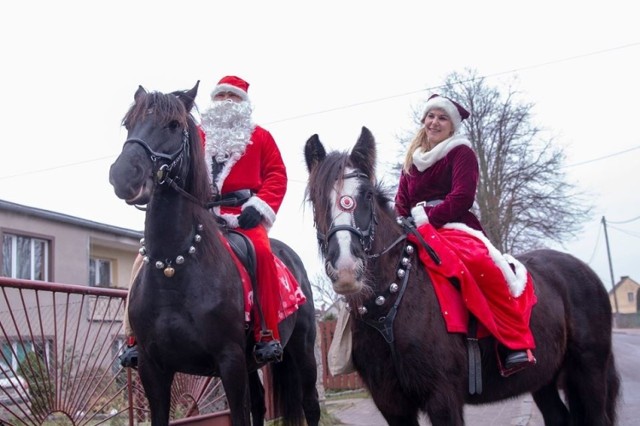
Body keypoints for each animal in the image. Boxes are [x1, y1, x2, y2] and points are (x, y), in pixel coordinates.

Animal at [110, 82, 322, 426]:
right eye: (129, 123)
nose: (124, 175)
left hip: (301, 351)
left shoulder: (230, 361)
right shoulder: (152, 370)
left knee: (310, 404)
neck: (174, 266)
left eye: (174, 125)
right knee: (260, 404)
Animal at [304, 126, 620, 426]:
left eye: (367, 195)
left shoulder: (442, 398)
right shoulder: (392, 405)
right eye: (316, 199)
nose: (346, 268)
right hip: (544, 377)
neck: (392, 301)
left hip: (588, 371)